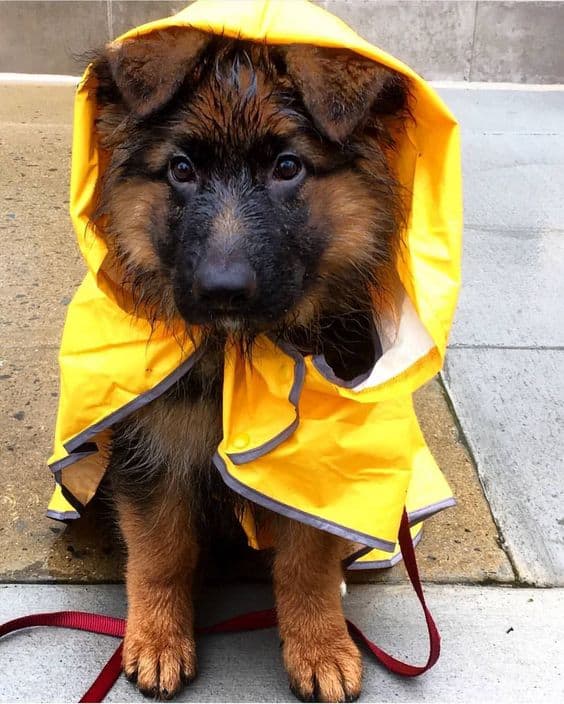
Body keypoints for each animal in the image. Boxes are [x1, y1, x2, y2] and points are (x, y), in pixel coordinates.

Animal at [91, 28, 410, 704]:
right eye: (182, 170)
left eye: (287, 167)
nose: (224, 291)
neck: (240, 360)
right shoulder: (152, 448)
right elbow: (160, 552)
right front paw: (156, 638)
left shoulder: (309, 467)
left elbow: (306, 561)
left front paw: (320, 645)